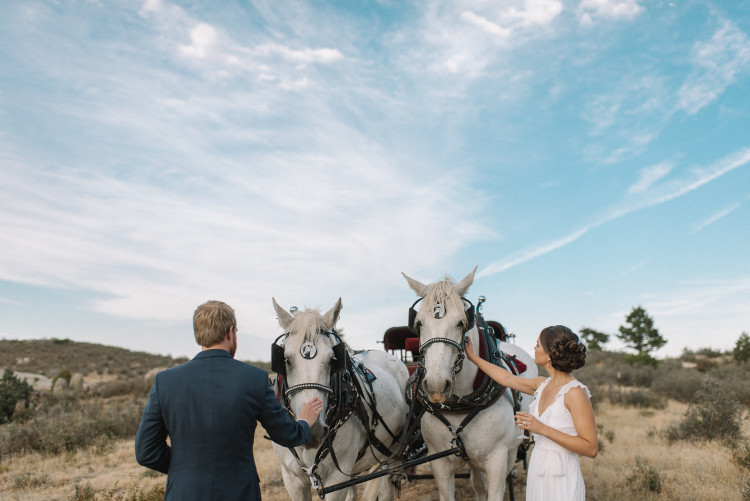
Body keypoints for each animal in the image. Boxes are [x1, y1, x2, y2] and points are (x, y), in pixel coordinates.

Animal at [272, 296, 412, 500]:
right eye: (286, 360)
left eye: (332, 360)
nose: (313, 429)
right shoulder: (292, 480)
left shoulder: (337, 479)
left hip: (392, 451)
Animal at [402, 268, 536, 500]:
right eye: (419, 324)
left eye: (461, 322)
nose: (436, 386)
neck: (460, 405)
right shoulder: (439, 462)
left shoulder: (498, 461)